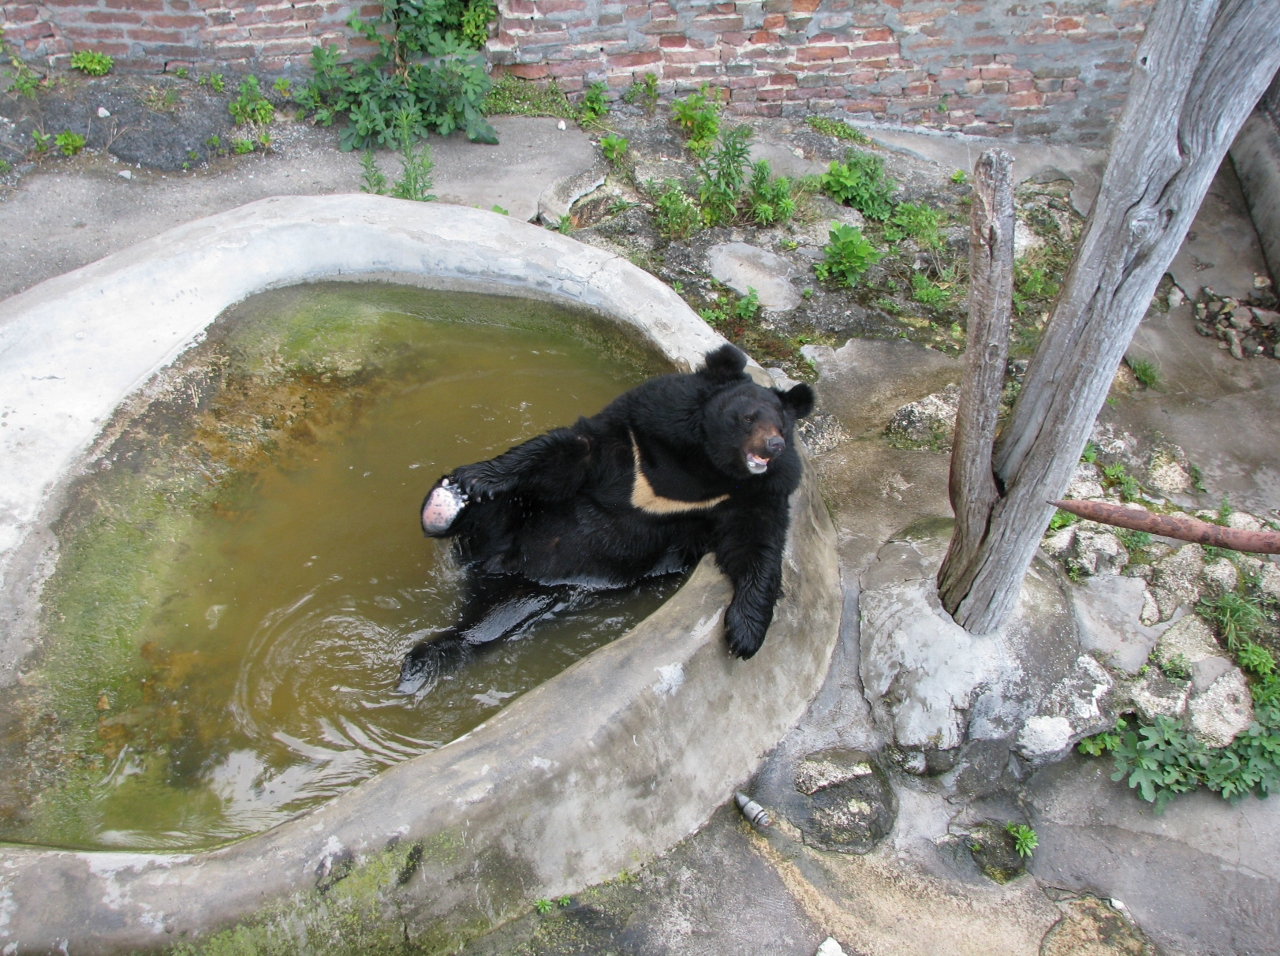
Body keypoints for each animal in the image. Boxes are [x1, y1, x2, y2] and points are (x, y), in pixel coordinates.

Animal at [398, 343, 814, 694]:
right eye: (747, 417)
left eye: (781, 425)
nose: (773, 446)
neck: (705, 466)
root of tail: (506, 568)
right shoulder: (639, 434)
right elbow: (568, 453)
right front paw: (476, 478)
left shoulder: (752, 495)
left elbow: (755, 544)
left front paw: (745, 634)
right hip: (509, 525)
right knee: (493, 514)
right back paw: (442, 506)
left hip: (535, 596)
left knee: (492, 626)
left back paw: (427, 658)